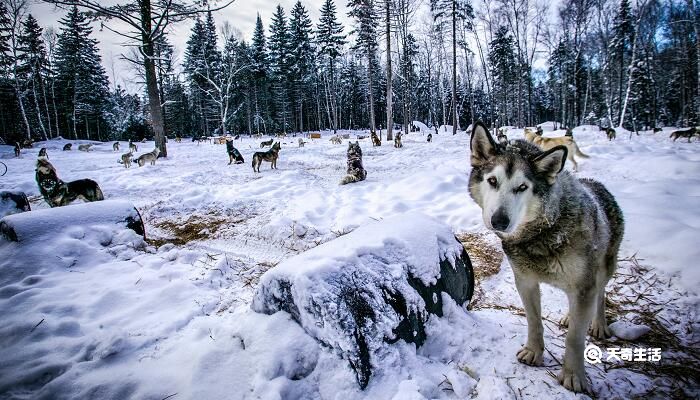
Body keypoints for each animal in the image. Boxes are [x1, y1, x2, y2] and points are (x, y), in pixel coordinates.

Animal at [470, 122, 624, 394]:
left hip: (604, 269)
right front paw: (533, 352)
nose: (499, 221)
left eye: (522, 187)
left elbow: (575, 338)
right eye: (492, 181)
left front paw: (574, 376)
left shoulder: (584, 286)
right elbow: (534, 321)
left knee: (600, 294)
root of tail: (596, 183)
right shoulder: (525, 281)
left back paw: (598, 324)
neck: (543, 232)